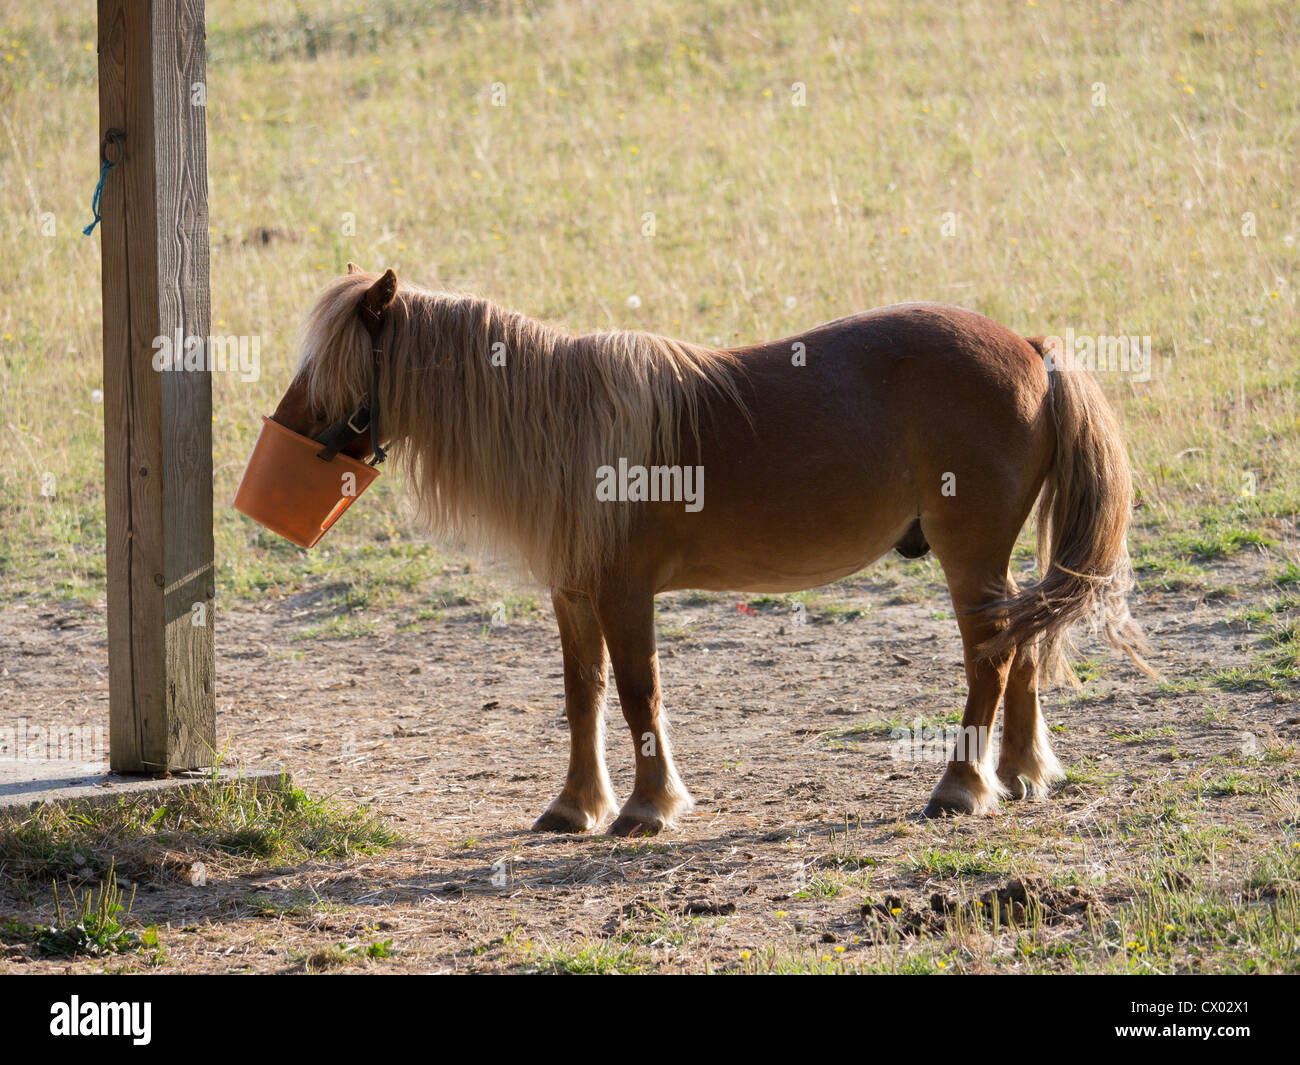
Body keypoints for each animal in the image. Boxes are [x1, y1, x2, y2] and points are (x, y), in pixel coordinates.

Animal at [266, 263, 1150, 836]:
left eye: (334, 361)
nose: (284, 431)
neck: (565, 423)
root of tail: (1031, 348)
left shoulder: (624, 593)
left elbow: (637, 695)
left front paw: (646, 807)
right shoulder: (574, 595)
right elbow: (582, 697)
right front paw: (573, 806)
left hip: (969, 558)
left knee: (991, 662)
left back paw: (961, 787)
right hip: (997, 565)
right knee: (1024, 647)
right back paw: (1024, 774)